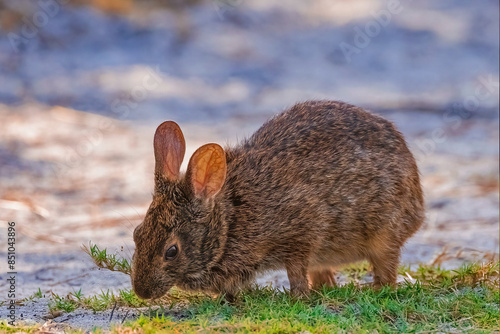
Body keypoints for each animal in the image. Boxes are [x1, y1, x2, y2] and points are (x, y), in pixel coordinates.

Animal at [131, 99, 424, 300]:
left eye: (172, 251)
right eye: (137, 234)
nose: (142, 292)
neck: (229, 222)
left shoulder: (301, 234)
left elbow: (296, 269)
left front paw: (298, 297)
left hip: (384, 231)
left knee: (386, 263)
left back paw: (377, 290)